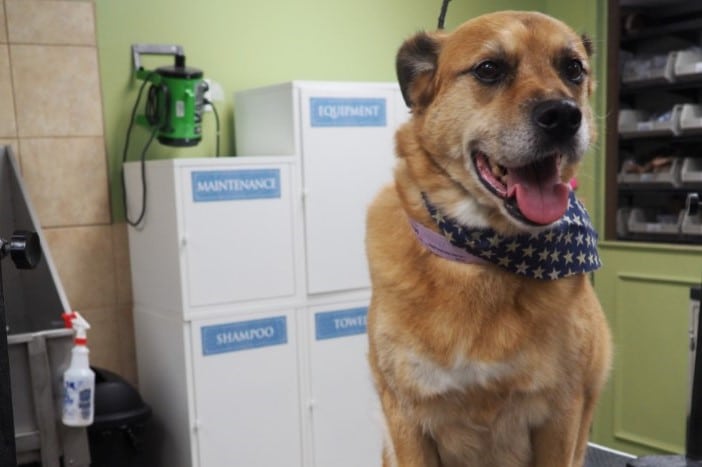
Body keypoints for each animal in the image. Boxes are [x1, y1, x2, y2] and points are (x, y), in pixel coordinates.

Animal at [366, 11, 612, 467]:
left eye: (573, 68)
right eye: (489, 69)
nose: (564, 116)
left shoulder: (561, 417)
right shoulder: (406, 419)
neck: (483, 255)